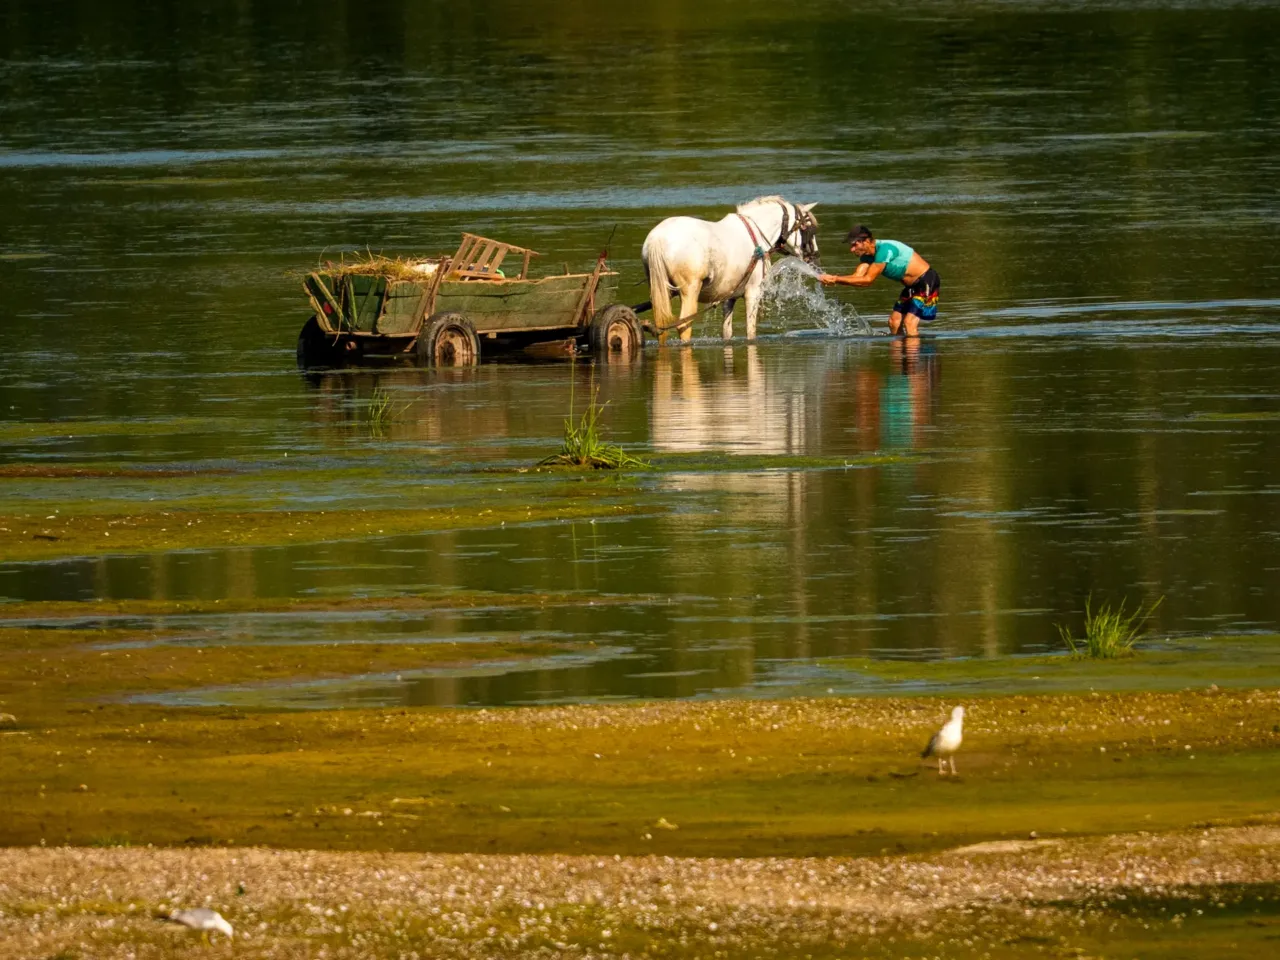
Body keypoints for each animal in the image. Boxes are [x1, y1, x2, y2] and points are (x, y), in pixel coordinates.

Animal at [641, 196, 820, 343]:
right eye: (808, 227)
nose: (814, 255)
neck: (757, 234)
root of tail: (657, 238)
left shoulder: (728, 297)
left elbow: (726, 332)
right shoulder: (753, 292)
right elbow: (750, 332)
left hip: (660, 291)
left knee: (661, 327)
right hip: (689, 290)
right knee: (684, 326)